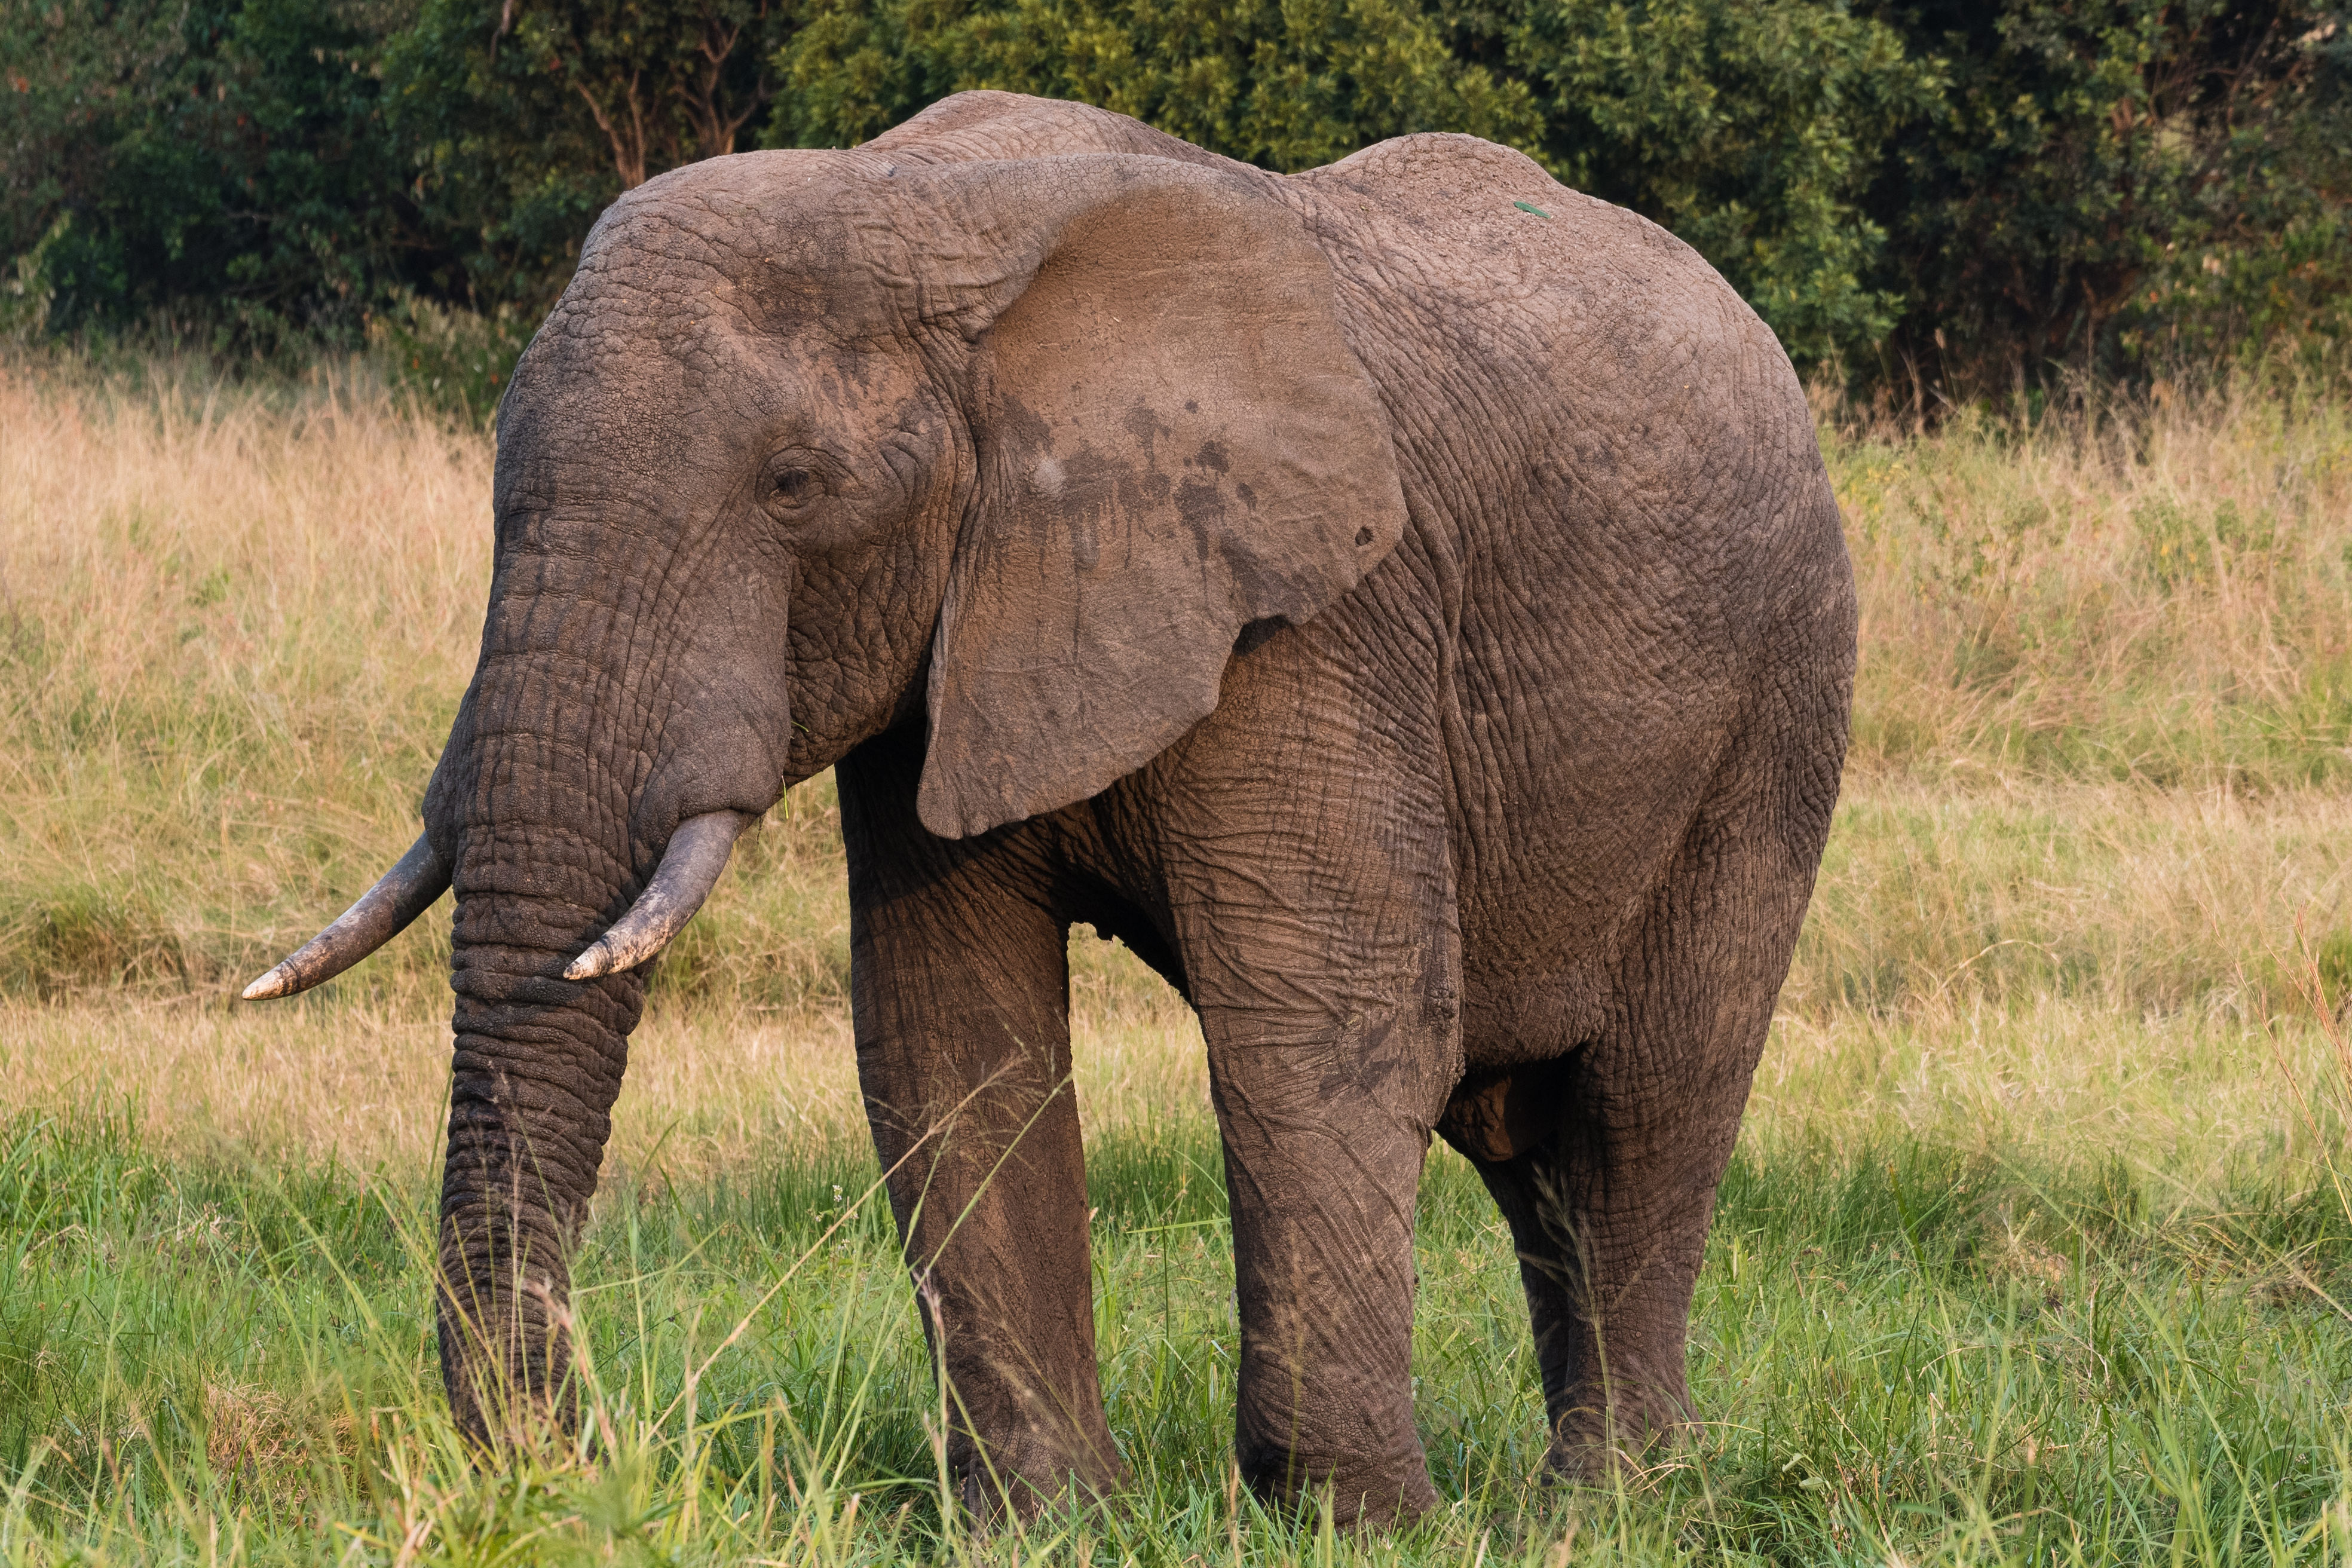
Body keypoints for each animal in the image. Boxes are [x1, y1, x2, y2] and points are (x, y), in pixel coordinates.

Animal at [253, 88, 1853, 1532]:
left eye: (796, 484)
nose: (578, 1458)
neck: (920, 203)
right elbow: (950, 1034)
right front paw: (1048, 1523)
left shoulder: (1324, 615)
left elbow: (1322, 1024)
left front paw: (1361, 1525)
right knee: (1526, 1136)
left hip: (1779, 692)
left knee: (1649, 1096)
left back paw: (1609, 1505)